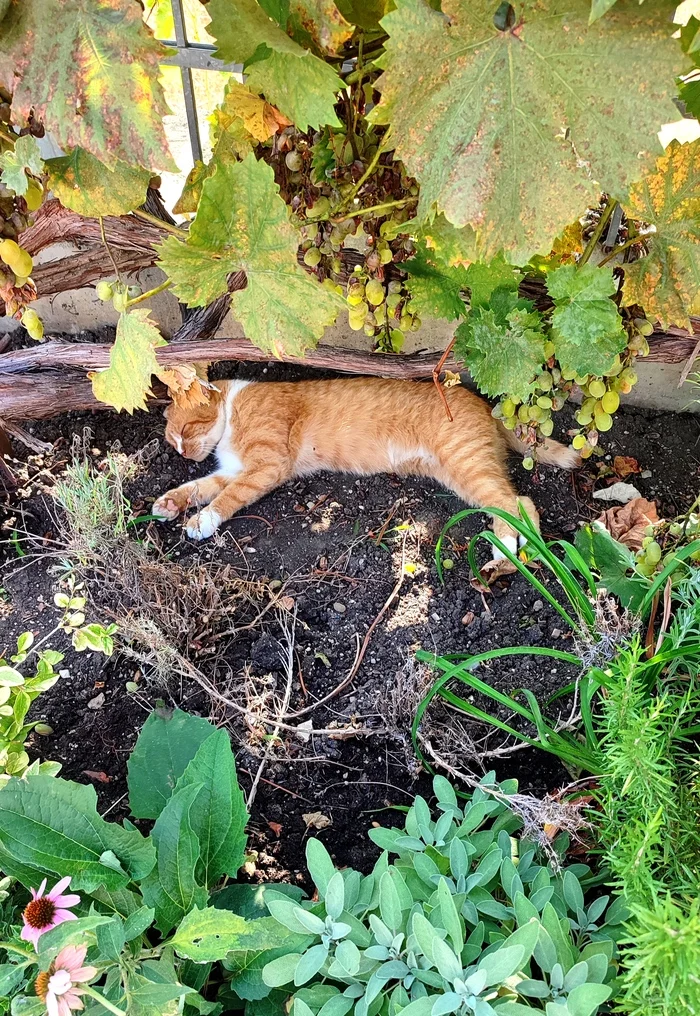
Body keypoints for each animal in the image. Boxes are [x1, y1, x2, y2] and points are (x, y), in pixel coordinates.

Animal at [154, 377, 577, 552]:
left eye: (186, 431)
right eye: (172, 442)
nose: (184, 454)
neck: (232, 411)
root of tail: (486, 405)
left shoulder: (265, 467)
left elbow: (225, 499)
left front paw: (202, 521)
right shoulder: (232, 470)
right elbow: (200, 487)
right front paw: (170, 504)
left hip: (467, 463)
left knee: (518, 504)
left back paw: (505, 551)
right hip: (458, 474)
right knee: (513, 503)